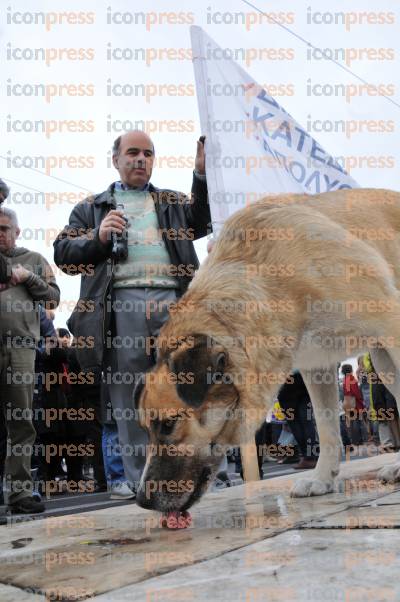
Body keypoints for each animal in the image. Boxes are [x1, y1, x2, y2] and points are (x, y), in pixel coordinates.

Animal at [134, 188, 400, 510]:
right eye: (146, 429)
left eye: (169, 424)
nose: (142, 500)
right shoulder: (317, 365)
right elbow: (326, 429)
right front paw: (322, 478)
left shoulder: (390, 321)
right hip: (383, 362)